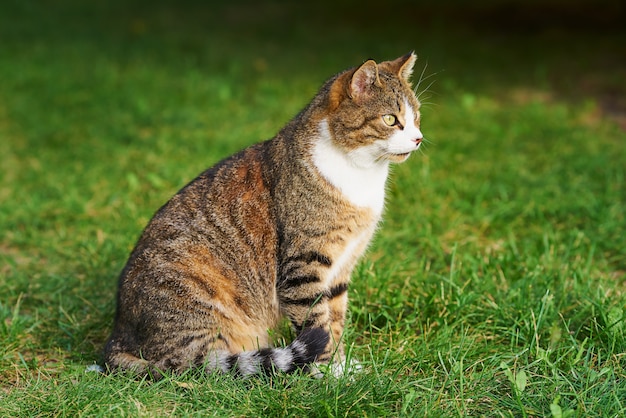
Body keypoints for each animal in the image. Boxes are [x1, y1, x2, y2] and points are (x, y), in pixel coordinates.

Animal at [103, 50, 424, 378]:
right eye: (391, 119)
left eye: (416, 117)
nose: (419, 138)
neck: (360, 175)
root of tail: (115, 340)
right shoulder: (304, 265)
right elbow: (317, 323)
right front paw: (326, 373)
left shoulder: (341, 267)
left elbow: (334, 319)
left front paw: (342, 365)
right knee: (197, 366)